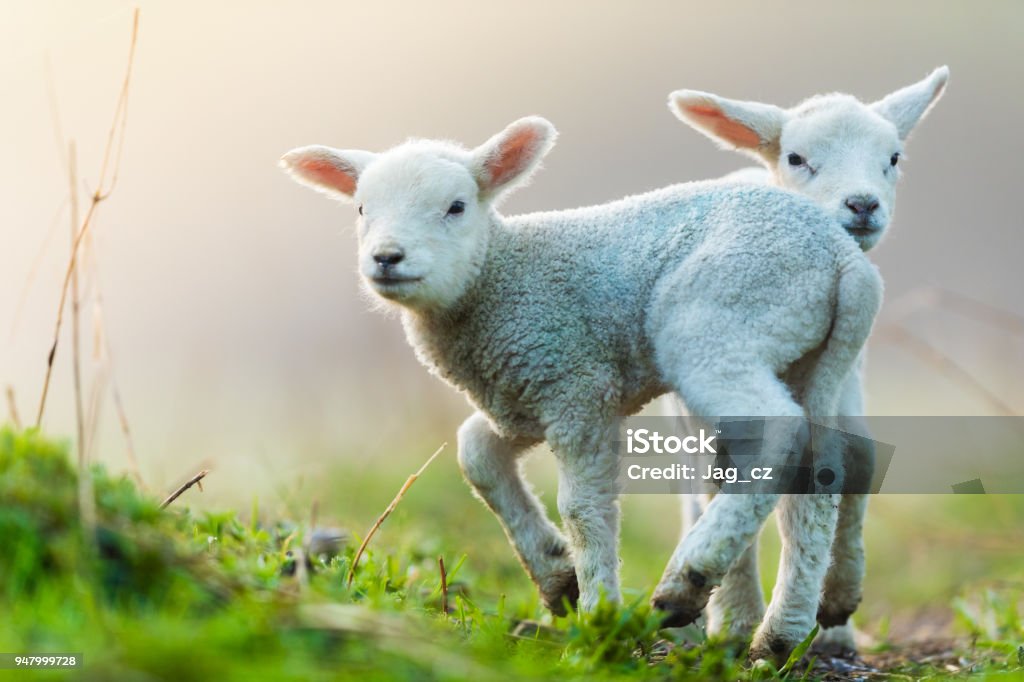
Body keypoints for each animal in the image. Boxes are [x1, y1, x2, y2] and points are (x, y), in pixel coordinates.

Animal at [278, 116, 880, 659]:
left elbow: (583, 507)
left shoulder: (575, 382)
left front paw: (599, 621)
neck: (498, 278)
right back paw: (787, 630)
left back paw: (688, 582)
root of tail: (843, 260)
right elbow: (476, 453)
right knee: (823, 472)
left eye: (456, 207)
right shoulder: (521, 392)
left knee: (780, 433)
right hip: (807, 355)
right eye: (361, 209)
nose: (386, 257)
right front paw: (557, 577)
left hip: (722, 321)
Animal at [667, 66, 946, 651]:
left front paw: (837, 602)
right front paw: (736, 619)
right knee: (698, 491)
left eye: (893, 157)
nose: (862, 204)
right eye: (797, 158)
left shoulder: (847, 385)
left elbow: (858, 461)